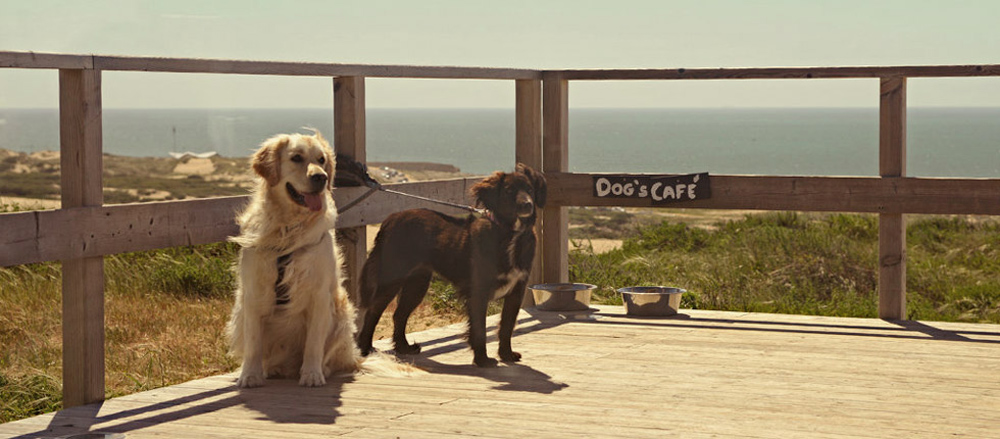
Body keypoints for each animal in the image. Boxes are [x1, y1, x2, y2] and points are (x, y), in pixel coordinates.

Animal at [356, 164, 548, 368]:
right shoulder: (478, 291)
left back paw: (404, 347)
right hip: (393, 277)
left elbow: (507, 326)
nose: (527, 204)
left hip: (417, 283)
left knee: (399, 315)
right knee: (373, 311)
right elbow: (479, 328)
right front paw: (482, 359)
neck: (510, 233)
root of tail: (391, 218)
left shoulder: (517, 291)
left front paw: (506, 354)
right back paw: (365, 348)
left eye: (530, 190)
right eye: (509, 191)